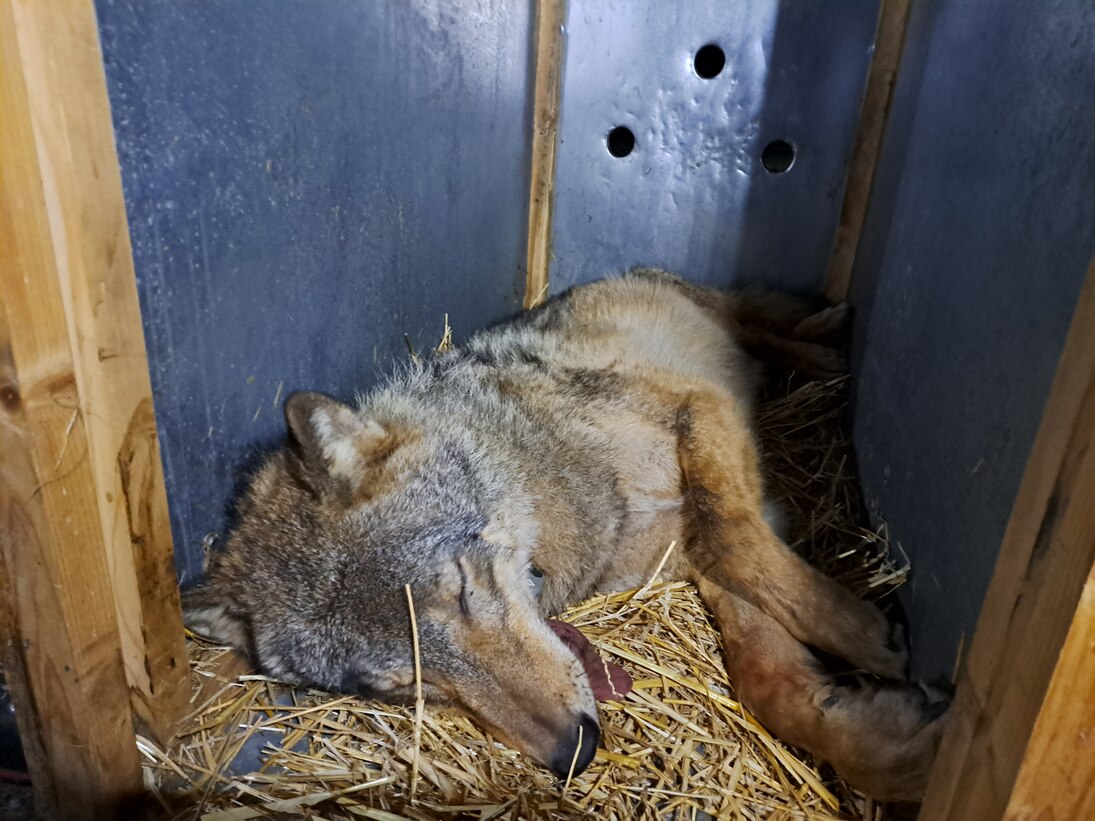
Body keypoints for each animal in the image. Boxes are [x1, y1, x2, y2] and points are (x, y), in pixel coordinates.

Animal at [186, 270, 950, 805]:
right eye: (407, 687)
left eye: (460, 592)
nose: (573, 753)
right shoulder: (690, 560)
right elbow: (770, 684)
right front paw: (898, 745)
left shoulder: (702, 409)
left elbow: (734, 538)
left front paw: (868, 642)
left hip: (698, 314)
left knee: (750, 310)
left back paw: (823, 339)